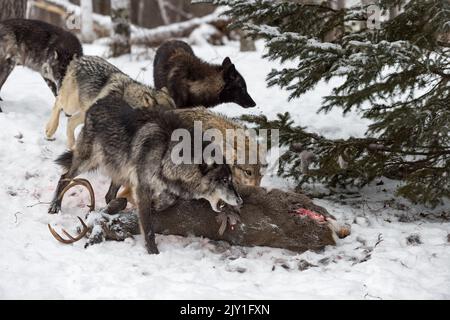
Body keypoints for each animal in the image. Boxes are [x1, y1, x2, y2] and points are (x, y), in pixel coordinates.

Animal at [44, 55, 174, 148]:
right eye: (165, 117)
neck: (128, 103)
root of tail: (80, 59)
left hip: (83, 112)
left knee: (70, 121)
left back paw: (71, 145)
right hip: (71, 106)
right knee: (58, 102)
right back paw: (50, 130)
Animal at [48, 98, 243, 255]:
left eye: (231, 180)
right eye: (224, 180)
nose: (240, 200)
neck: (167, 153)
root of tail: (96, 103)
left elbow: (167, 201)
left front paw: (156, 205)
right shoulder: (141, 187)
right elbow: (148, 228)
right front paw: (153, 252)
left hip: (119, 171)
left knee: (109, 195)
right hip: (87, 162)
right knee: (65, 176)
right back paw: (54, 206)